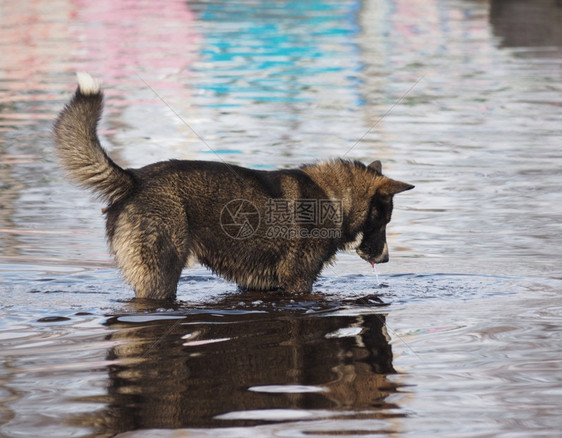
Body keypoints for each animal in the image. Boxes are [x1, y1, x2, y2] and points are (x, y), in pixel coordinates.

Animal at [53, 74, 412, 302]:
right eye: (385, 220)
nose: (386, 260)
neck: (334, 197)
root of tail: (134, 177)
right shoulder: (297, 282)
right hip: (160, 275)